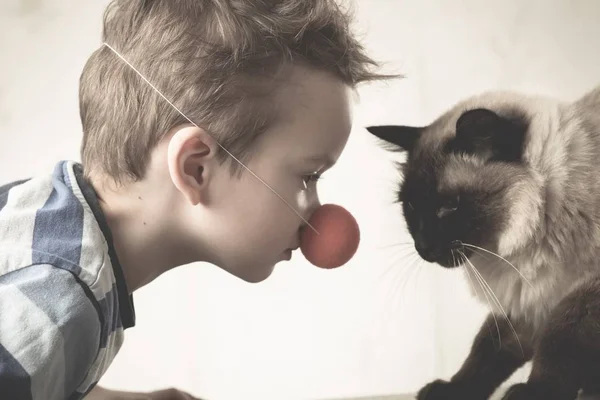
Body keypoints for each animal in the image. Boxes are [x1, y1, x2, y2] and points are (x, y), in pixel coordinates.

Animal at [366, 85, 600, 400]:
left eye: (449, 207)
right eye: (411, 207)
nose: (423, 248)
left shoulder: (584, 292)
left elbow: (561, 341)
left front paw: (536, 391)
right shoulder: (525, 298)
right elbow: (486, 350)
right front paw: (451, 388)